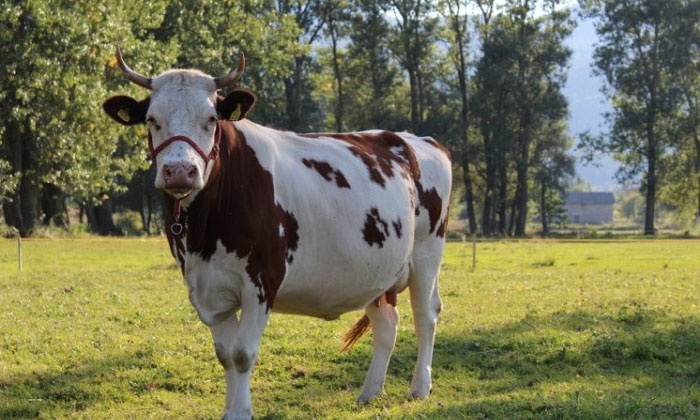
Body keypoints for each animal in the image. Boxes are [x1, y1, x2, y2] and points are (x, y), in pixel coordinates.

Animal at [104, 49, 454, 420]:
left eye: (211, 119)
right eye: (152, 119)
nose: (180, 171)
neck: (204, 229)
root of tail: (414, 139)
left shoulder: (261, 281)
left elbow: (242, 354)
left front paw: (241, 412)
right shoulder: (207, 288)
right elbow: (225, 355)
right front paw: (230, 411)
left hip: (427, 255)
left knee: (426, 315)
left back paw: (420, 387)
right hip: (377, 270)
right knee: (387, 323)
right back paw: (369, 393)